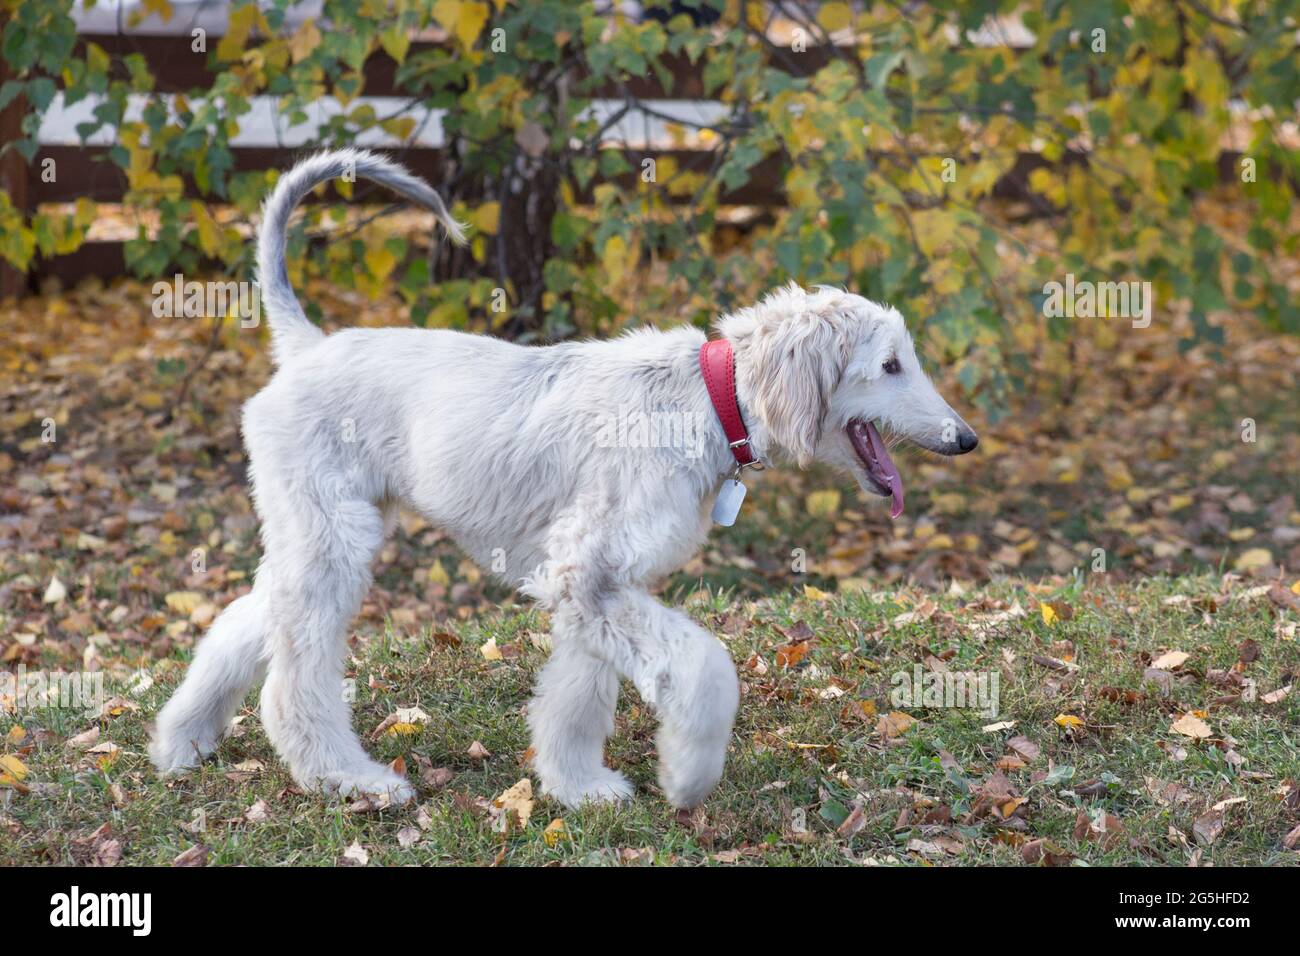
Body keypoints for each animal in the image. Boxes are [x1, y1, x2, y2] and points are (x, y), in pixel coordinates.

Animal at [149, 147, 977, 806]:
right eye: (891, 365)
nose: (965, 439)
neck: (705, 399)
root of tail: (307, 345)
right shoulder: (588, 572)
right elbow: (707, 667)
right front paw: (689, 778)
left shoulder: (598, 586)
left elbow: (576, 698)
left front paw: (578, 787)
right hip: (333, 538)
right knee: (294, 675)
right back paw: (346, 777)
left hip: (319, 531)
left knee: (244, 623)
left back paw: (182, 741)